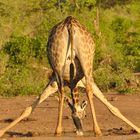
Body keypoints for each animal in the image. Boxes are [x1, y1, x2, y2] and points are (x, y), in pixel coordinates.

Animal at [0, 15, 140, 137]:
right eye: (84, 115)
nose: (79, 131)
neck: (73, 84)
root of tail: (70, 23)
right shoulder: (77, 80)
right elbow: (112, 107)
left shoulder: (54, 81)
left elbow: (29, 108)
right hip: (86, 64)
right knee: (85, 89)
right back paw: (95, 130)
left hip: (61, 64)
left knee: (62, 91)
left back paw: (59, 130)